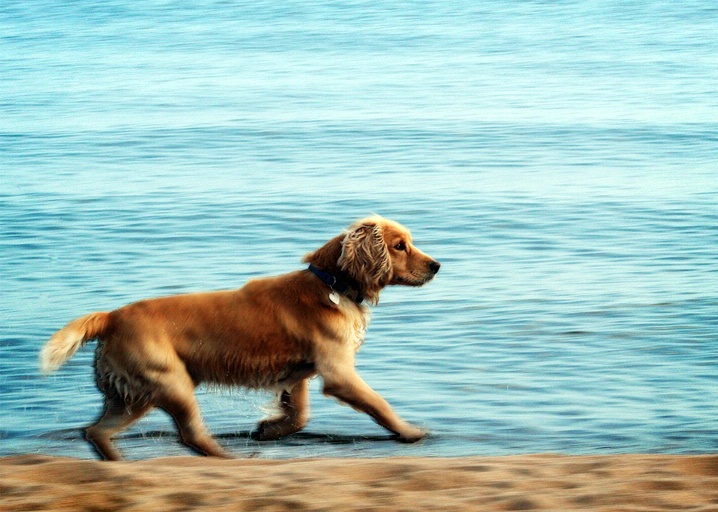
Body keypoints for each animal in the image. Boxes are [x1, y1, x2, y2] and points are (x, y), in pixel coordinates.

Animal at [43, 216, 444, 460]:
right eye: (400, 245)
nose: (437, 265)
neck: (331, 284)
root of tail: (111, 317)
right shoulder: (339, 373)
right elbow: (380, 405)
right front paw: (411, 432)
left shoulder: (296, 375)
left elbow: (299, 415)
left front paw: (269, 429)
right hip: (171, 382)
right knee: (190, 435)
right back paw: (231, 458)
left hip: (133, 396)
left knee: (96, 431)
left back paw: (117, 462)